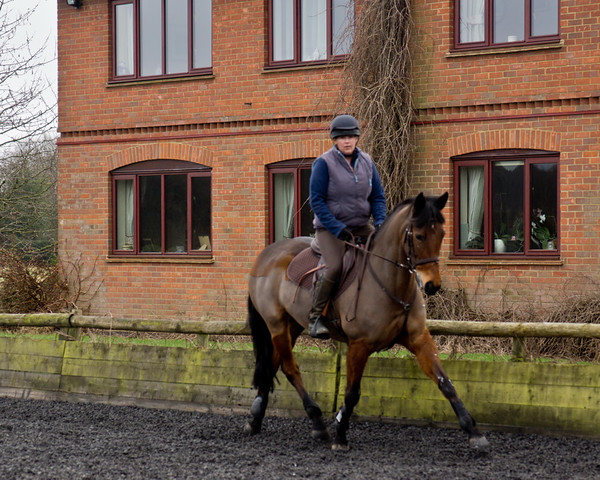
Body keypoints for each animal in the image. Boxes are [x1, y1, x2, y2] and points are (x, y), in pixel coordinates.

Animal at [244, 190, 488, 450]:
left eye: (441, 234)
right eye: (419, 236)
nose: (433, 285)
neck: (390, 282)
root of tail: (266, 255)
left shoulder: (419, 339)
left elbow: (445, 382)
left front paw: (474, 432)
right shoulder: (359, 345)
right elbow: (352, 393)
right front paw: (340, 434)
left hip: (293, 325)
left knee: (273, 364)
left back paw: (256, 418)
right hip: (276, 325)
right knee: (290, 368)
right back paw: (316, 421)